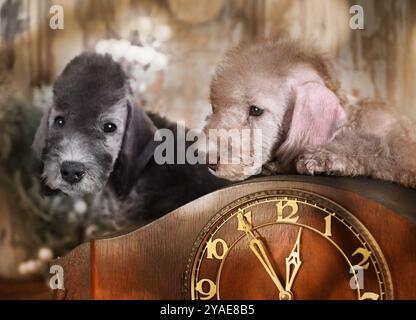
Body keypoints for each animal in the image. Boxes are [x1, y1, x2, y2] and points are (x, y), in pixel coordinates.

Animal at [200, 38, 414, 188]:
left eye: (256, 110)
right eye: (214, 108)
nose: (208, 160)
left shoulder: (395, 147)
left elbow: (370, 148)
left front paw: (323, 159)